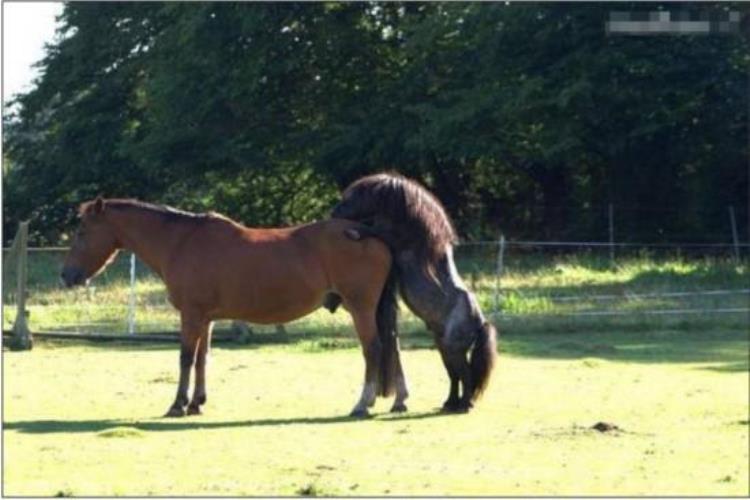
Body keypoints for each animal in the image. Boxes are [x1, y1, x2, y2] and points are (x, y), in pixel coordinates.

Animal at [61, 197, 408, 416]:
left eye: (81, 231)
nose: (66, 275)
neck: (181, 241)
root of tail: (368, 233)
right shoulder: (206, 319)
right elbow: (202, 359)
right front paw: (196, 403)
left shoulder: (191, 315)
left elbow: (185, 358)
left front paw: (177, 404)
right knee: (392, 344)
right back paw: (398, 400)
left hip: (360, 308)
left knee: (374, 349)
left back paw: (362, 404)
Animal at [330, 174, 500, 412]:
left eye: (351, 198)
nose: (332, 214)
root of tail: (480, 323)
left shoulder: (393, 239)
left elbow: (374, 230)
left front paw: (355, 232)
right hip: (444, 349)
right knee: (454, 375)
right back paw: (450, 403)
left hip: (453, 350)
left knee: (465, 374)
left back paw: (464, 404)